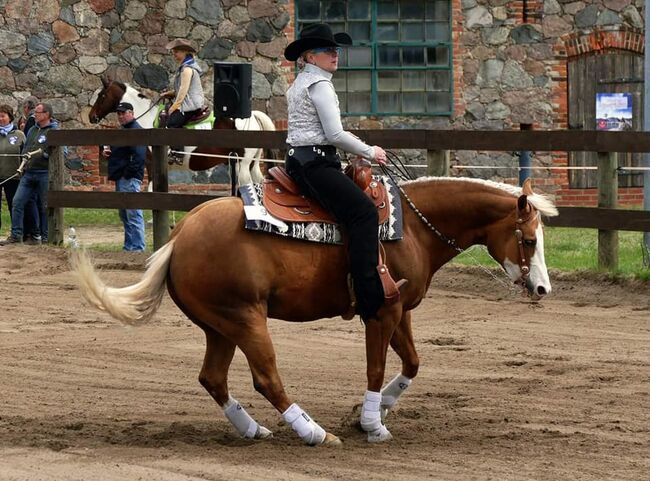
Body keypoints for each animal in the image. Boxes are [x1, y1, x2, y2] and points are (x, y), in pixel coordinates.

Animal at [72, 175, 556, 442]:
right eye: (530, 239)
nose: (543, 288)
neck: (413, 228)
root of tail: (179, 236)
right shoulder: (380, 312)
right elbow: (376, 368)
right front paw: (373, 424)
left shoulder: (401, 310)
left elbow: (412, 363)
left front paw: (376, 412)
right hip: (246, 319)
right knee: (266, 378)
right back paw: (314, 433)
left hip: (220, 326)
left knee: (213, 378)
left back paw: (253, 430)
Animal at [87, 78, 274, 185]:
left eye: (101, 95)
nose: (91, 116)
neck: (147, 121)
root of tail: (252, 116)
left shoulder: (151, 163)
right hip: (247, 164)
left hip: (243, 164)